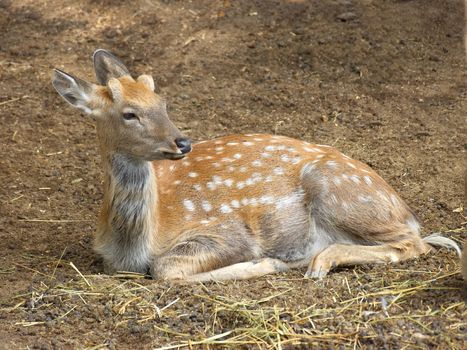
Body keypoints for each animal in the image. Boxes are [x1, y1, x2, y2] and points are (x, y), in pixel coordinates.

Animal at [52, 50, 460, 284]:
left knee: (415, 243)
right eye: (129, 113)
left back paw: (318, 262)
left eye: (163, 102)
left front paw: (267, 265)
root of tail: (404, 209)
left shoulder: (230, 232)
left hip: (340, 190)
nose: (182, 142)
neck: (135, 244)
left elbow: (165, 269)